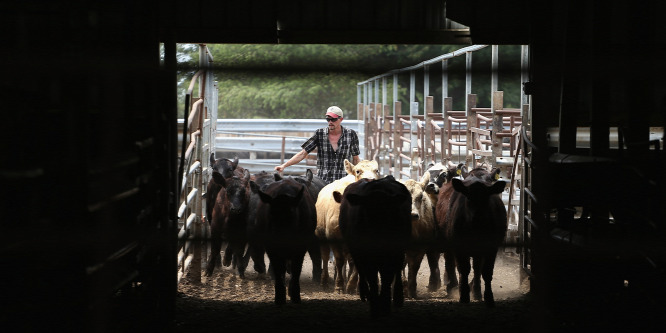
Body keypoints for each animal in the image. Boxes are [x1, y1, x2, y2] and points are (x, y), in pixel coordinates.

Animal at [338, 175, 410, 316]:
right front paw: (375, 306)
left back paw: (398, 298)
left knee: (397, 269)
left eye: (388, 209)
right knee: (362, 271)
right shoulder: (364, 254)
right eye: (367, 209)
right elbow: (371, 277)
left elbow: (387, 277)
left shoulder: (393, 252)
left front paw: (385, 305)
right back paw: (365, 293)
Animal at [444, 169, 506, 306]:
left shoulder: (491, 248)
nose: (478, 218)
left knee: (477, 268)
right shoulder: (459, 247)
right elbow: (464, 269)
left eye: (487, 197)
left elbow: (486, 271)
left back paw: (477, 291)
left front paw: (488, 297)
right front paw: (464, 296)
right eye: (468, 197)